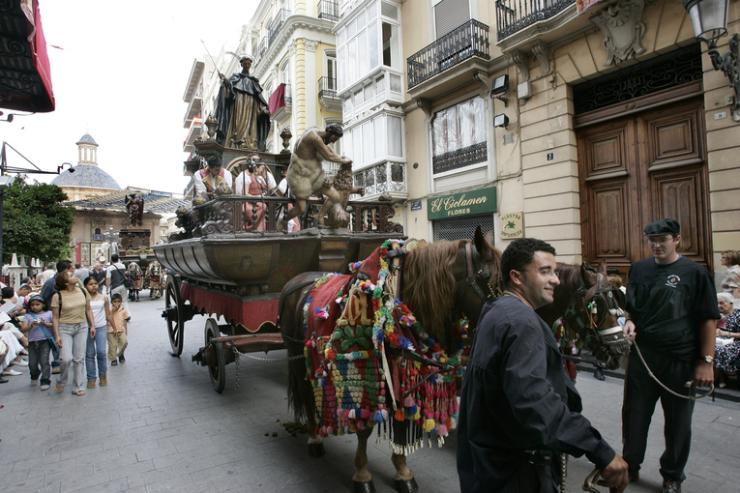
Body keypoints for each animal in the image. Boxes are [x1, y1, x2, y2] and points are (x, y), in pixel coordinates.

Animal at [278, 229, 502, 492]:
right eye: (487, 276)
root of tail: (296, 282)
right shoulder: (367, 373)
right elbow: (364, 429)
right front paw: (362, 474)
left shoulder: (402, 373)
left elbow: (402, 422)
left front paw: (403, 471)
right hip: (296, 355)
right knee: (306, 395)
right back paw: (314, 438)